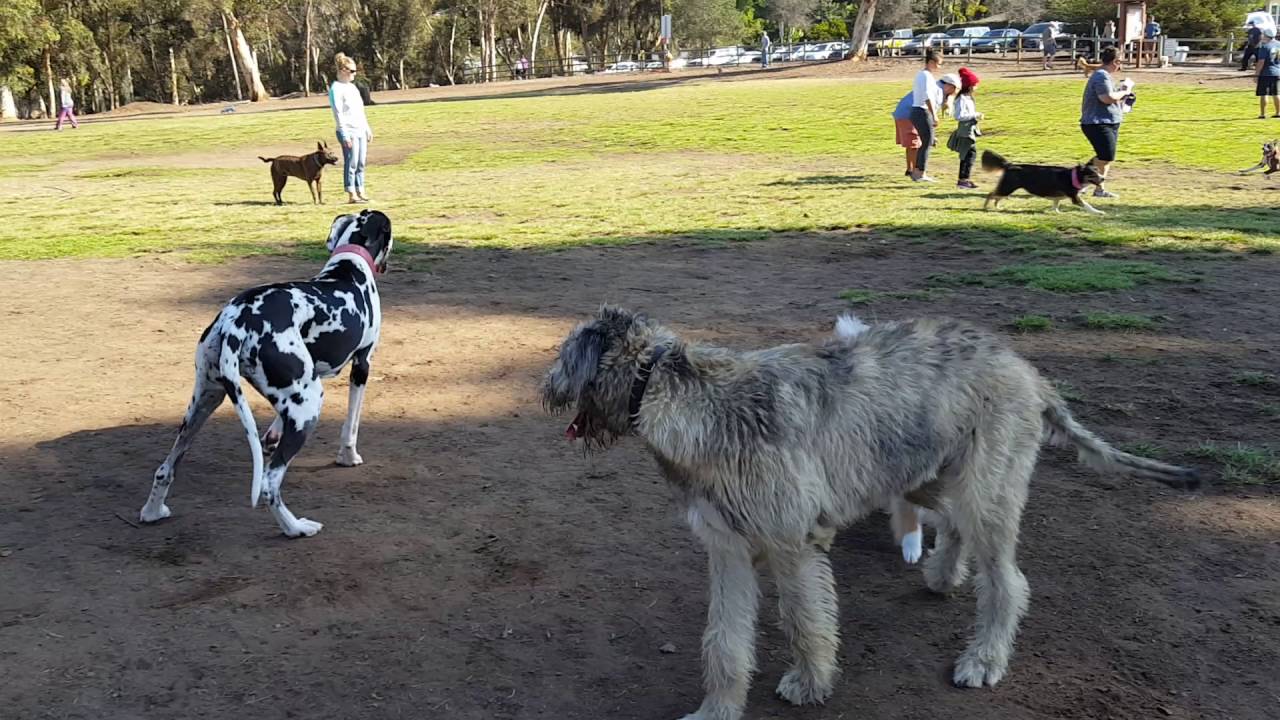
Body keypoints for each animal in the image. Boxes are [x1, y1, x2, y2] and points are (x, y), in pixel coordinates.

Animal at [140, 210, 394, 535]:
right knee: (268, 484)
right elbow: (351, 424)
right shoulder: (361, 365)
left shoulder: (308, 375)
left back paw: (152, 511)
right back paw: (296, 528)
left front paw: (273, 434)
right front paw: (348, 457)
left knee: (165, 468)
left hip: (206, 401)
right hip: (309, 404)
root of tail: (237, 322)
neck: (348, 266)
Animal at [542, 304, 1198, 717]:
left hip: (986, 490)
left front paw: (809, 683)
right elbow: (723, 640)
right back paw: (941, 573)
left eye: (566, 352)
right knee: (951, 525)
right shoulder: (726, 547)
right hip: (929, 473)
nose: (542, 388)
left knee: (1007, 580)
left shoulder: (790, 543)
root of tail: (1026, 369)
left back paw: (983, 657)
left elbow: (804, 621)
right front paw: (715, 710)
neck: (681, 396)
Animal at [977, 151, 1111, 215]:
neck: (1074, 176)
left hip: (1007, 189)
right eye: (1092, 174)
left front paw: (1057, 212)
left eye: (1098, 171)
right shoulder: (1075, 197)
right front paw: (1098, 212)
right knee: (991, 194)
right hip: (1007, 188)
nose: (1103, 178)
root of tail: (1010, 165)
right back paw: (985, 207)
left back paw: (997, 207)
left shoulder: (1058, 196)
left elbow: (1056, 204)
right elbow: (1088, 206)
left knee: (996, 197)